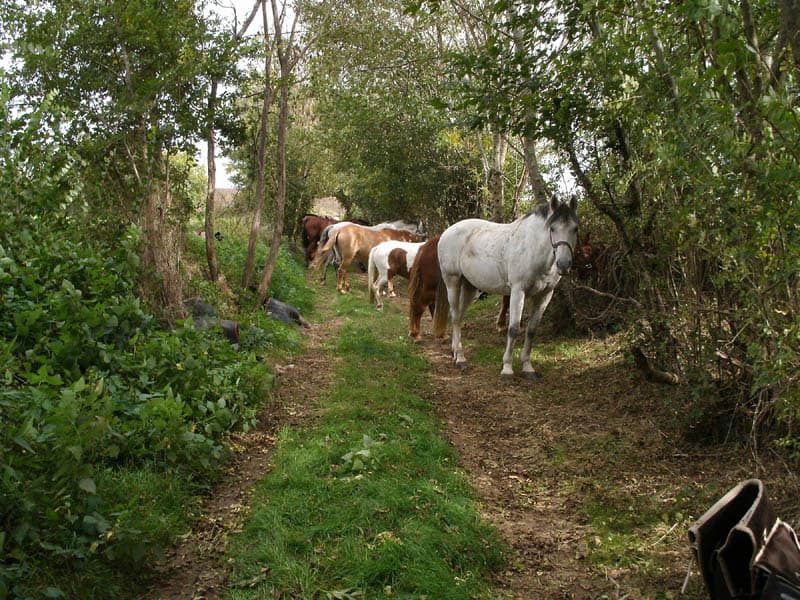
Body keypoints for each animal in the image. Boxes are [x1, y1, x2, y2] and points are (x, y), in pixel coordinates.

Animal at [434, 196, 579, 380]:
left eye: (575, 228)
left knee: (459, 316)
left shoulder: (545, 295)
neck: (533, 248)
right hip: (452, 281)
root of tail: (446, 232)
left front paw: (528, 367)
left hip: (470, 287)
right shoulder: (518, 292)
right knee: (455, 317)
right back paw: (460, 358)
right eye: (552, 228)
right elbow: (514, 329)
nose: (564, 264)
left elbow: (531, 330)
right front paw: (507, 369)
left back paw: (455, 353)